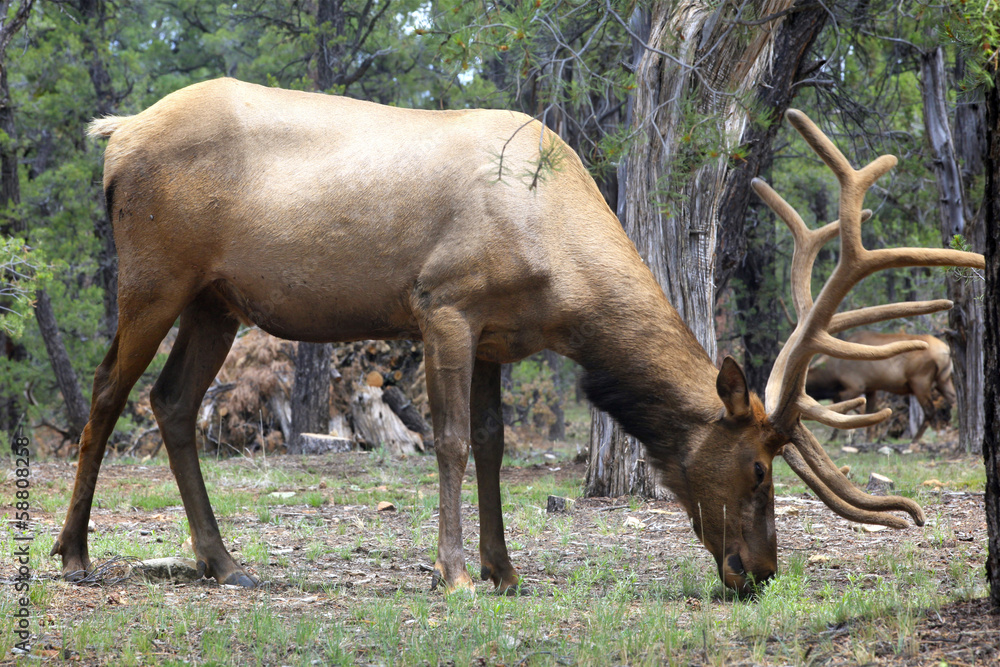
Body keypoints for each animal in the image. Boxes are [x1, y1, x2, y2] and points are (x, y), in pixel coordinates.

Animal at [804, 332, 952, 444]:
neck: (831, 375)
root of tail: (946, 350)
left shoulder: (855, 386)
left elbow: (844, 412)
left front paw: (835, 438)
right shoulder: (871, 388)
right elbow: (869, 412)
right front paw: (868, 440)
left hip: (920, 381)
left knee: (930, 410)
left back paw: (916, 439)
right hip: (943, 380)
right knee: (953, 400)